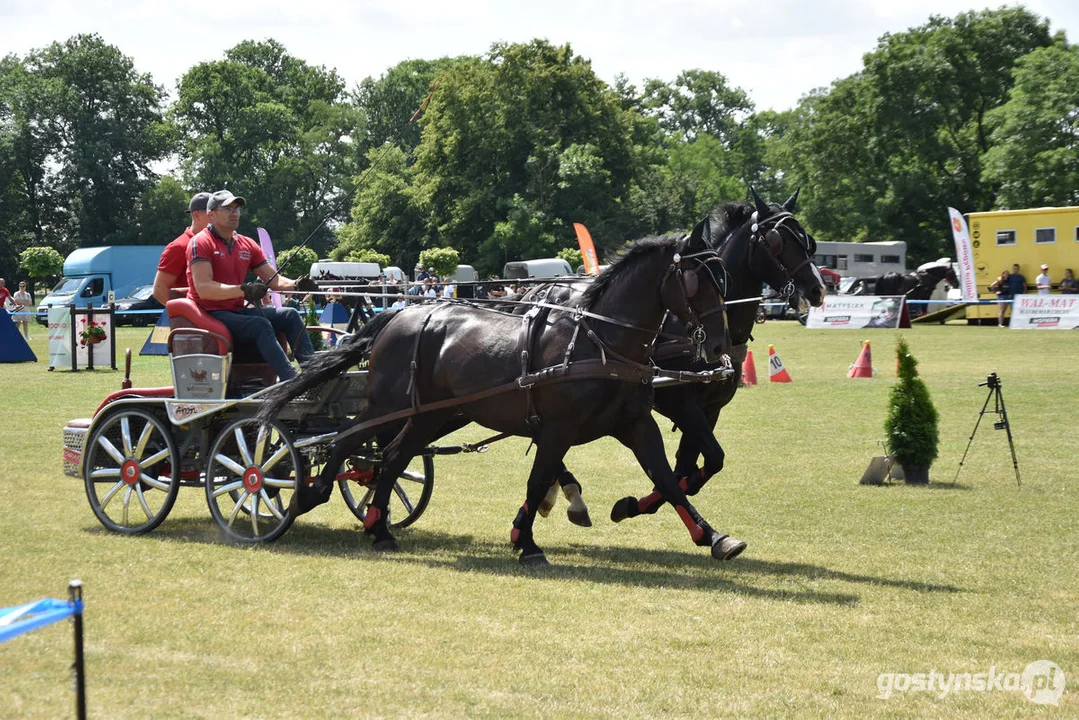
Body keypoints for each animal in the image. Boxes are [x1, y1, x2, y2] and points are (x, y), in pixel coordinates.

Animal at [258, 227, 733, 565]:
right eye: (696, 281)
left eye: (723, 279)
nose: (717, 347)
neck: (599, 342)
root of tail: (397, 314)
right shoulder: (557, 430)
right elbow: (539, 479)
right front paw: (526, 542)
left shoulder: (636, 424)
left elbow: (666, 478)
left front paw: (713, 536)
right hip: (388, 405)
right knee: (348, 441)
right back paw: (306, 493)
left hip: (429, 415)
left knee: (390, 458)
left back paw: (379, 528)